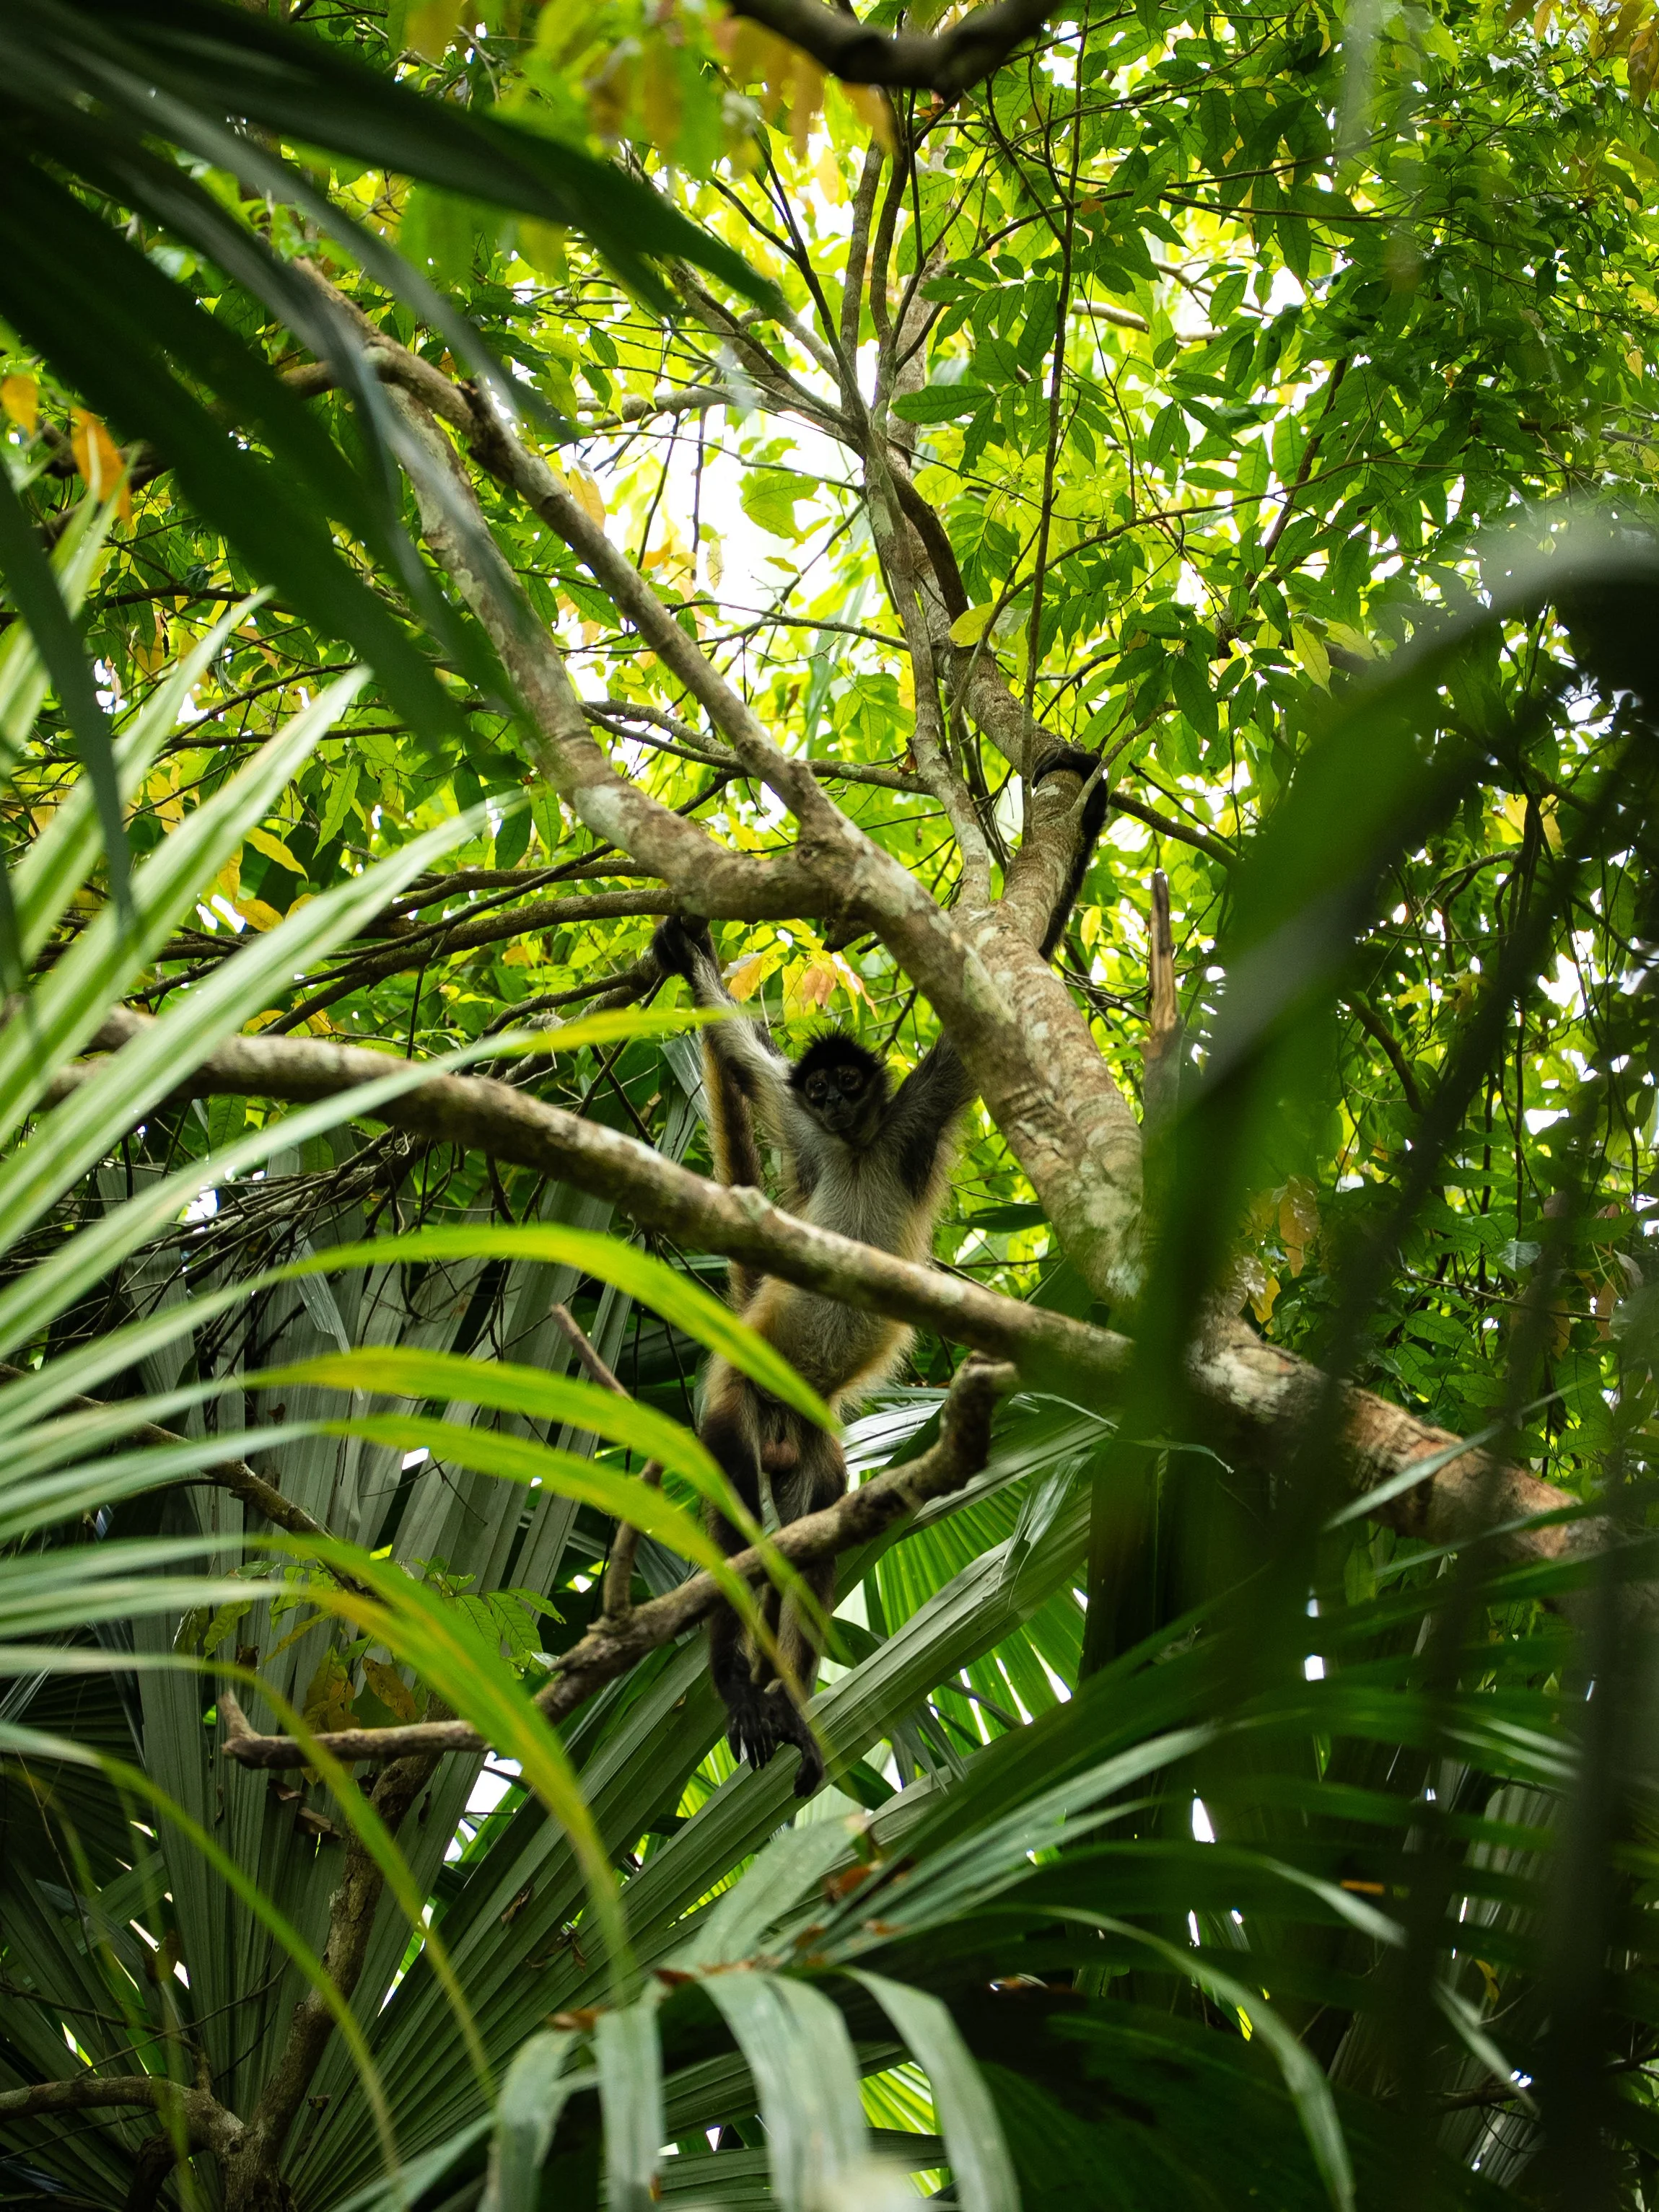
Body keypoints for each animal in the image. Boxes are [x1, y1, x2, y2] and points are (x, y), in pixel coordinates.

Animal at [652, 745, 1108, 1795]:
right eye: (817, 1087)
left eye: (847, 1082)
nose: (828, 1096)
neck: (857, 1149)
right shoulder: (802, 1132)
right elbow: (737, 1049)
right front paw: (687, 955)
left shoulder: (906, 1125)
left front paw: (1086, 813)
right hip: (737, 1399)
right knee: (734, 1509)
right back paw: (734, 1683)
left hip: (815, 1448)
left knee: (815, 1531)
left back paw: (785, 1704)